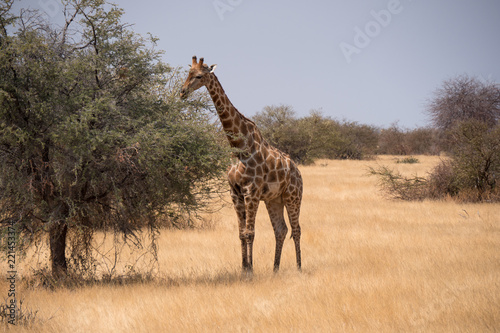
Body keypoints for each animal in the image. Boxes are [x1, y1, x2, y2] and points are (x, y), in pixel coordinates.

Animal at [182, 55, 302, 272]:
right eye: (188, 73)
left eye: (200, 75)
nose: (182, 91)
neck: (238, 147)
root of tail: (298, 172)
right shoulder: (235, 194)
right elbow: (241, 234)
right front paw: (244, 269)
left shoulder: (251, 193)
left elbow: (250, 233)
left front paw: (251, 270)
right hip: (274, 199)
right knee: (281, 230)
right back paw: (275, 269)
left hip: (293, 196)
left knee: (296, 230)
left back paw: (298, 268)